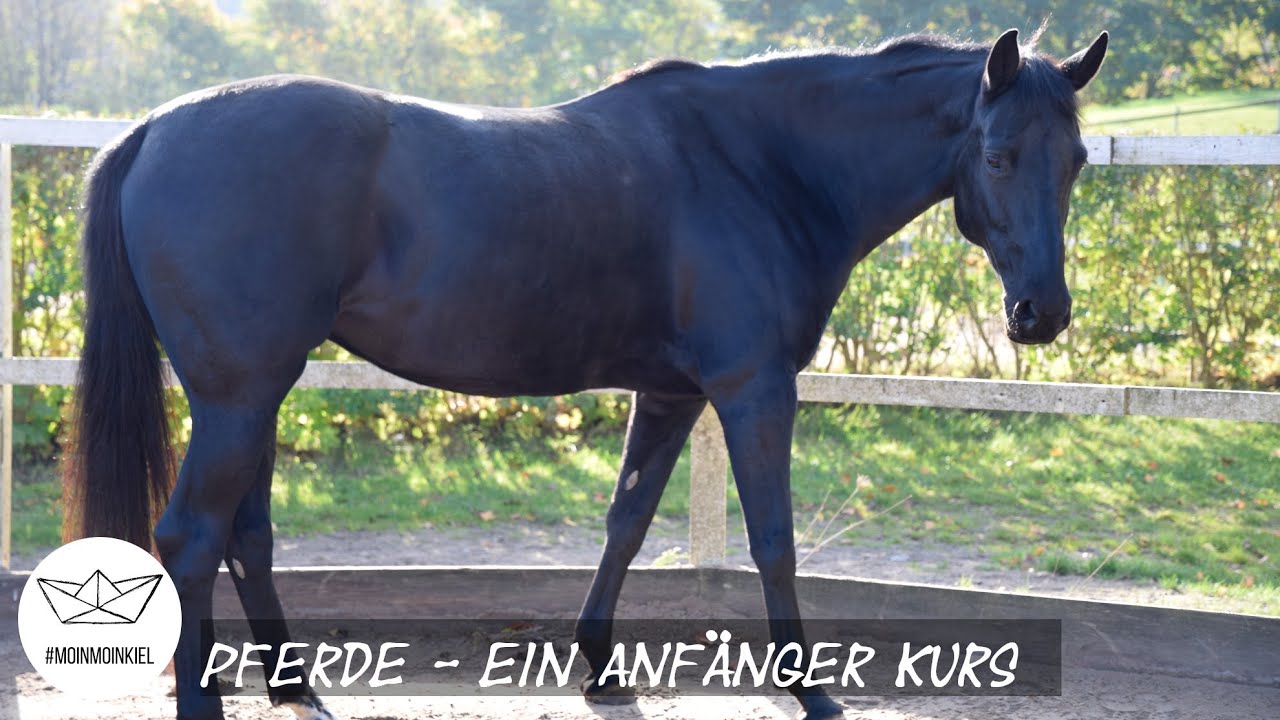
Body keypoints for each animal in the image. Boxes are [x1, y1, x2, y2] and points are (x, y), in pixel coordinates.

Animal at [64, 26, 1107, 720]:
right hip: (236, 400)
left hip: (254, 398)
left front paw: (599, 667)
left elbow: (629, 519)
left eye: (1079, 160)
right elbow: (773, 539)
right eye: (998, 155)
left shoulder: (674, 393)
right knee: (191, 538)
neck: (760, 164)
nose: (1042, 313)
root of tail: (153, 129)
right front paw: (811, 694)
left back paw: (296, 687)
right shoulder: (754, 390)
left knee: (246, 534)